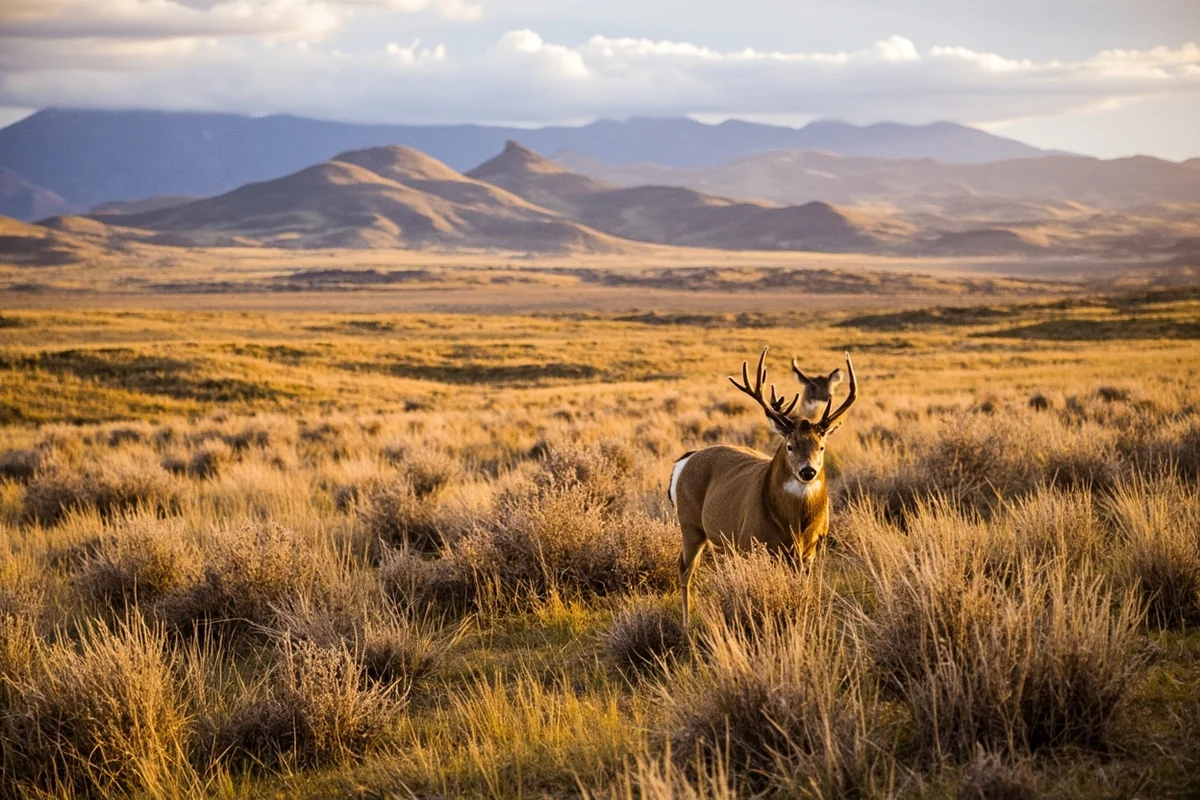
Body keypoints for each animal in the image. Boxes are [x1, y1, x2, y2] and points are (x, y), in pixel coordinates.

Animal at [667, 347, 858, 625]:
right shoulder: (752, 542)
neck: (794, 525)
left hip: (721, 539)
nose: (808, 471)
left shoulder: (809, 552)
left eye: (821, 447)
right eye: (790, 446)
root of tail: (685, 459)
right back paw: (685, 623)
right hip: (690, 523)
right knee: (684, 568)